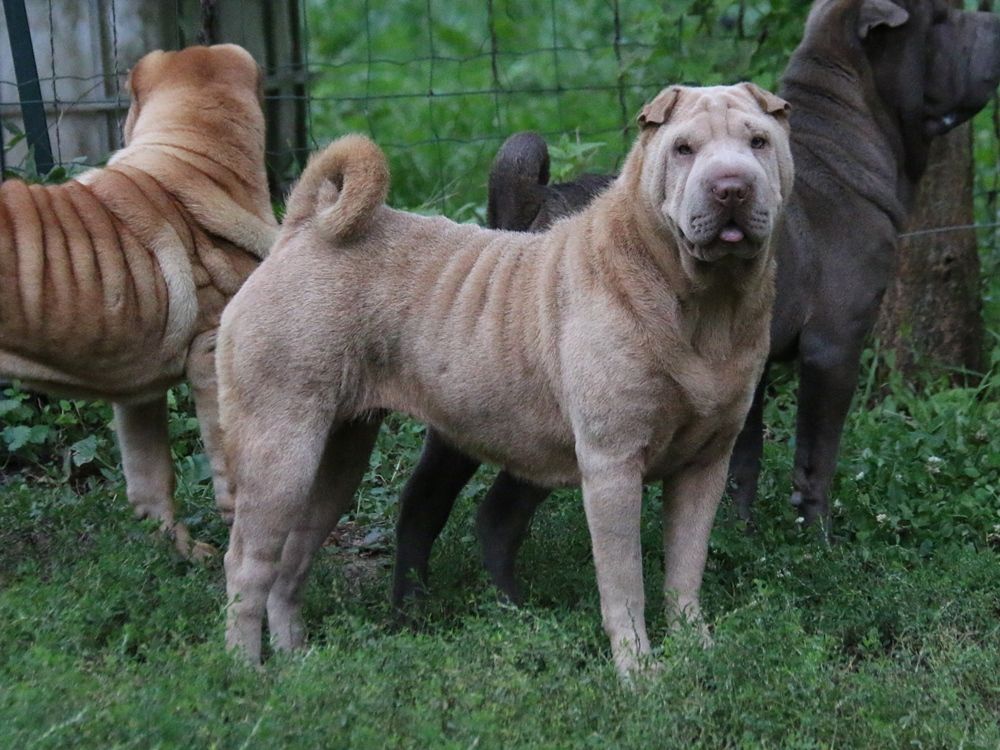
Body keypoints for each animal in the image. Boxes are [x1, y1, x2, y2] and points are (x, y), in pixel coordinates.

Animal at [0, 41, 278, 560]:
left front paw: (179, 551)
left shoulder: (136, 392)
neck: (194, 161)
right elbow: (228, 459)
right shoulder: (213, 356)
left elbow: (150, 473)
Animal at [221, 82, 796, 676]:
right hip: (282, 447)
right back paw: (247, 672)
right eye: (683, 148)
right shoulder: (612, 463)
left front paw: (696, 648)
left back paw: (296, 660)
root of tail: (303, 230)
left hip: (340, 452)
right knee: (247, 562)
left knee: (293, 556)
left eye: (758, 141)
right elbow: (624, 581)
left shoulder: (706, 463)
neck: (703, 305)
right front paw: (638, 672)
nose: (731, 187)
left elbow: (685, 568)